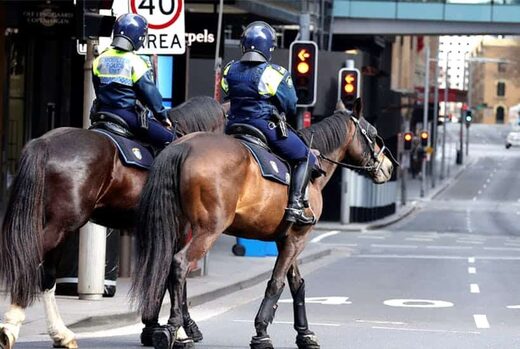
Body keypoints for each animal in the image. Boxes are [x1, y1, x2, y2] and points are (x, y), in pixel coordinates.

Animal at [0, 95, 228, 348]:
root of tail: (44, 143)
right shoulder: (177, 230)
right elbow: (173, 276)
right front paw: (180, 331)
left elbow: (159, 274)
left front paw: (154, 328)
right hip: (62, 225)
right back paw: (11, 326)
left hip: (57, 226)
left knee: (46, 276)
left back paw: (61, 334)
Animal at [132, 99, 396, 346]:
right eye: (373, 133)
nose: (389, 167)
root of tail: (185, 145)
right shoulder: (298, 238)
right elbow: (277, 283)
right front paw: (261, 332)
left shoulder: (287, 238)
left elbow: (296, 284)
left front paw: (304, 333)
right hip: (208, 230)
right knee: (179, 263)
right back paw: (171, 328)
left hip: (179, 227)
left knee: (167, 264)